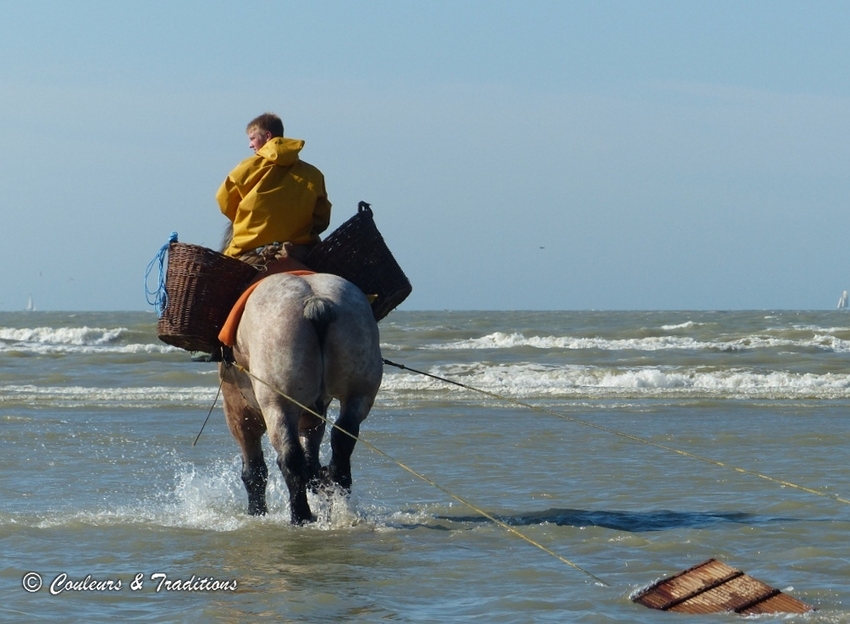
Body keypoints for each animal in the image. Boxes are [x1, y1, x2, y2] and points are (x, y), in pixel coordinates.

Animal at [219, 272, 380, 520]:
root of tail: (317, 303)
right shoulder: (313, 414)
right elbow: (311, 461)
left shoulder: (239, 412)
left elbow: (254, 471)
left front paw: (257, 511)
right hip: (358, 394)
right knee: (342, 444)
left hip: (278, 404)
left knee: (290, 457)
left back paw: (301, 515)